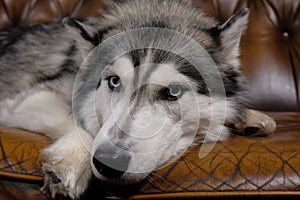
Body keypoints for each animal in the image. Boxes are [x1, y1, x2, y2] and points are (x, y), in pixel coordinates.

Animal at [0, 0, 276, 198]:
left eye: (173, 92)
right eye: (113, 81)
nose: (110, 163)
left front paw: (249, 117)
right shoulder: (25, 100)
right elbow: (82, 123)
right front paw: (70, 161)